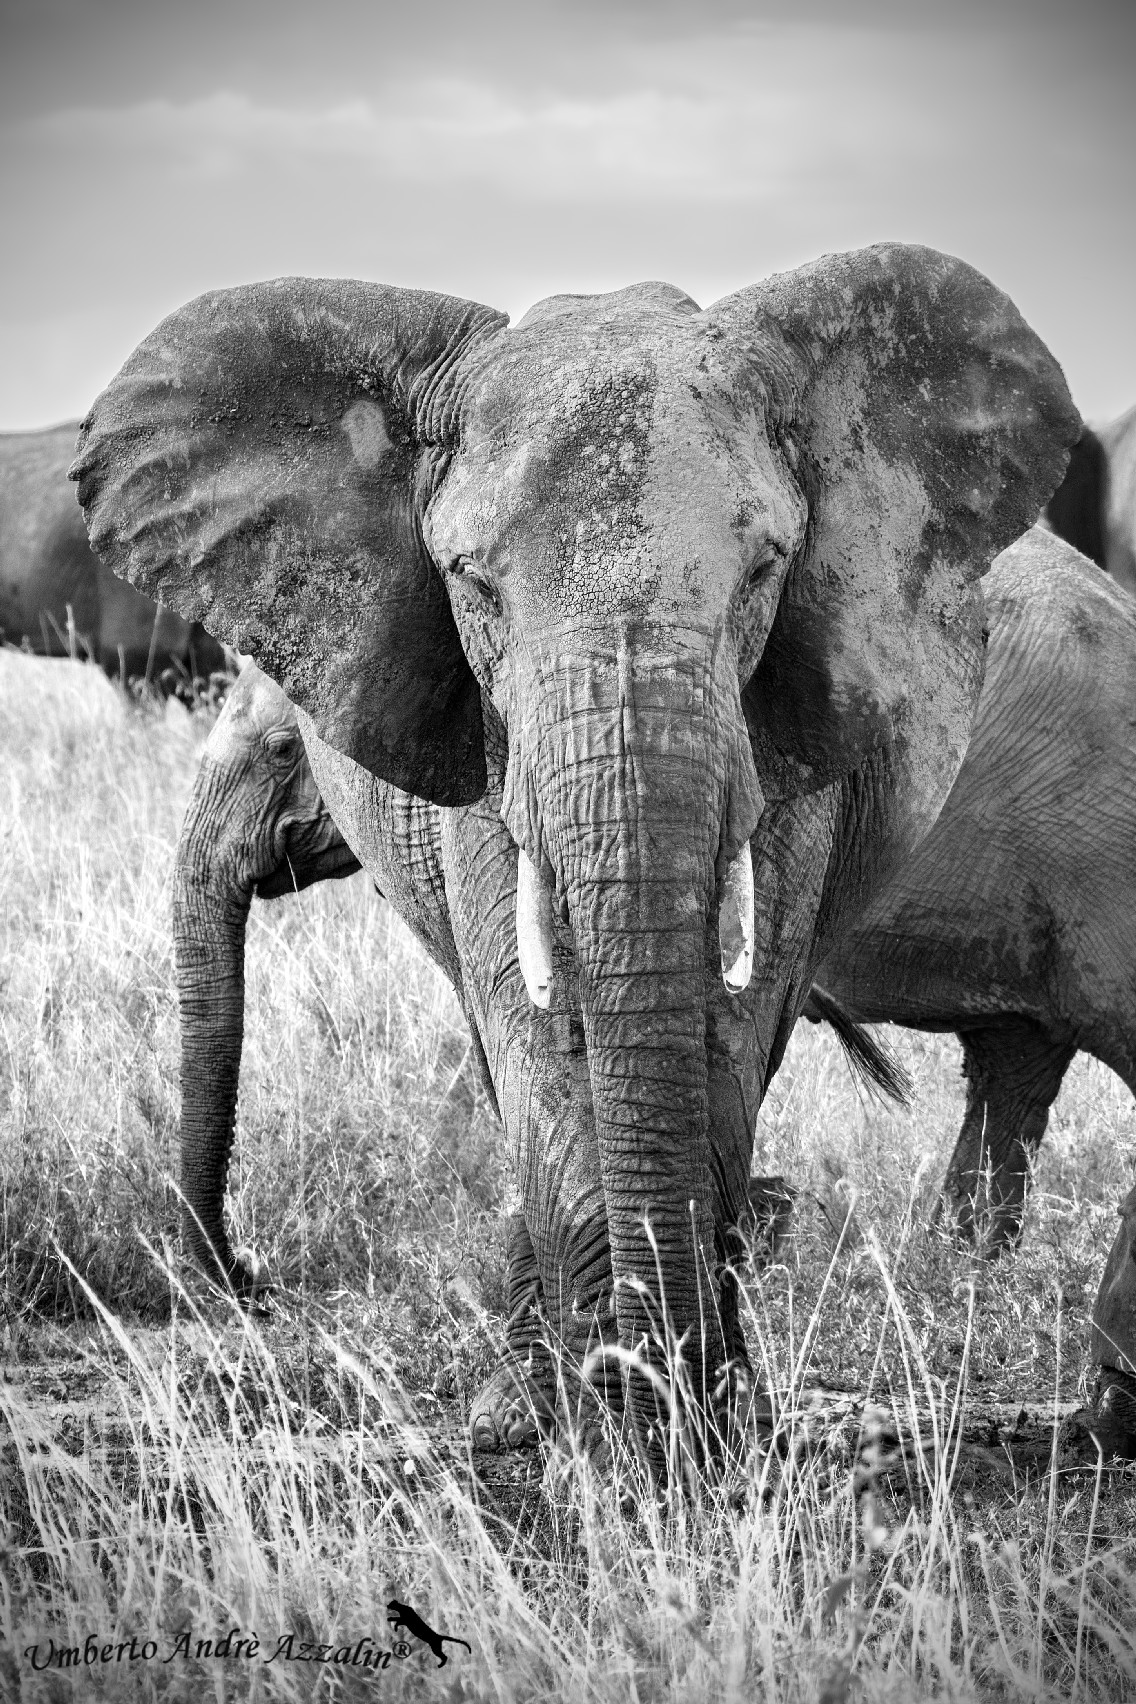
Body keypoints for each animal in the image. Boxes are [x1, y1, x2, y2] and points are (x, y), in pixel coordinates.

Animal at [72, 244, 1078, 1459]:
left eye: (765, 570)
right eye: (471, 583)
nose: (248, 1277)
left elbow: (727, 1023)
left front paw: (696, 1432)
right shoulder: (477, 739)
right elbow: (540, 1037)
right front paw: (613, 1435)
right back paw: (520, 1402)